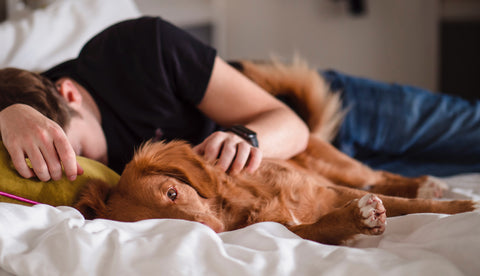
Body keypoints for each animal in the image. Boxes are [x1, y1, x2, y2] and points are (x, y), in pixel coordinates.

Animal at [73, 59, 478, 245]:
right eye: (157, 224)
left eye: (173, 193)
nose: (212, 231)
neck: (242, 203)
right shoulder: (291, 228)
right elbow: (322, 225)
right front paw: (358, 218)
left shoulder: (328, 189)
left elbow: (412, 206)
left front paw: (463, 207)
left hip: (343, 168)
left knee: (380, 176)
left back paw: (427, 183)